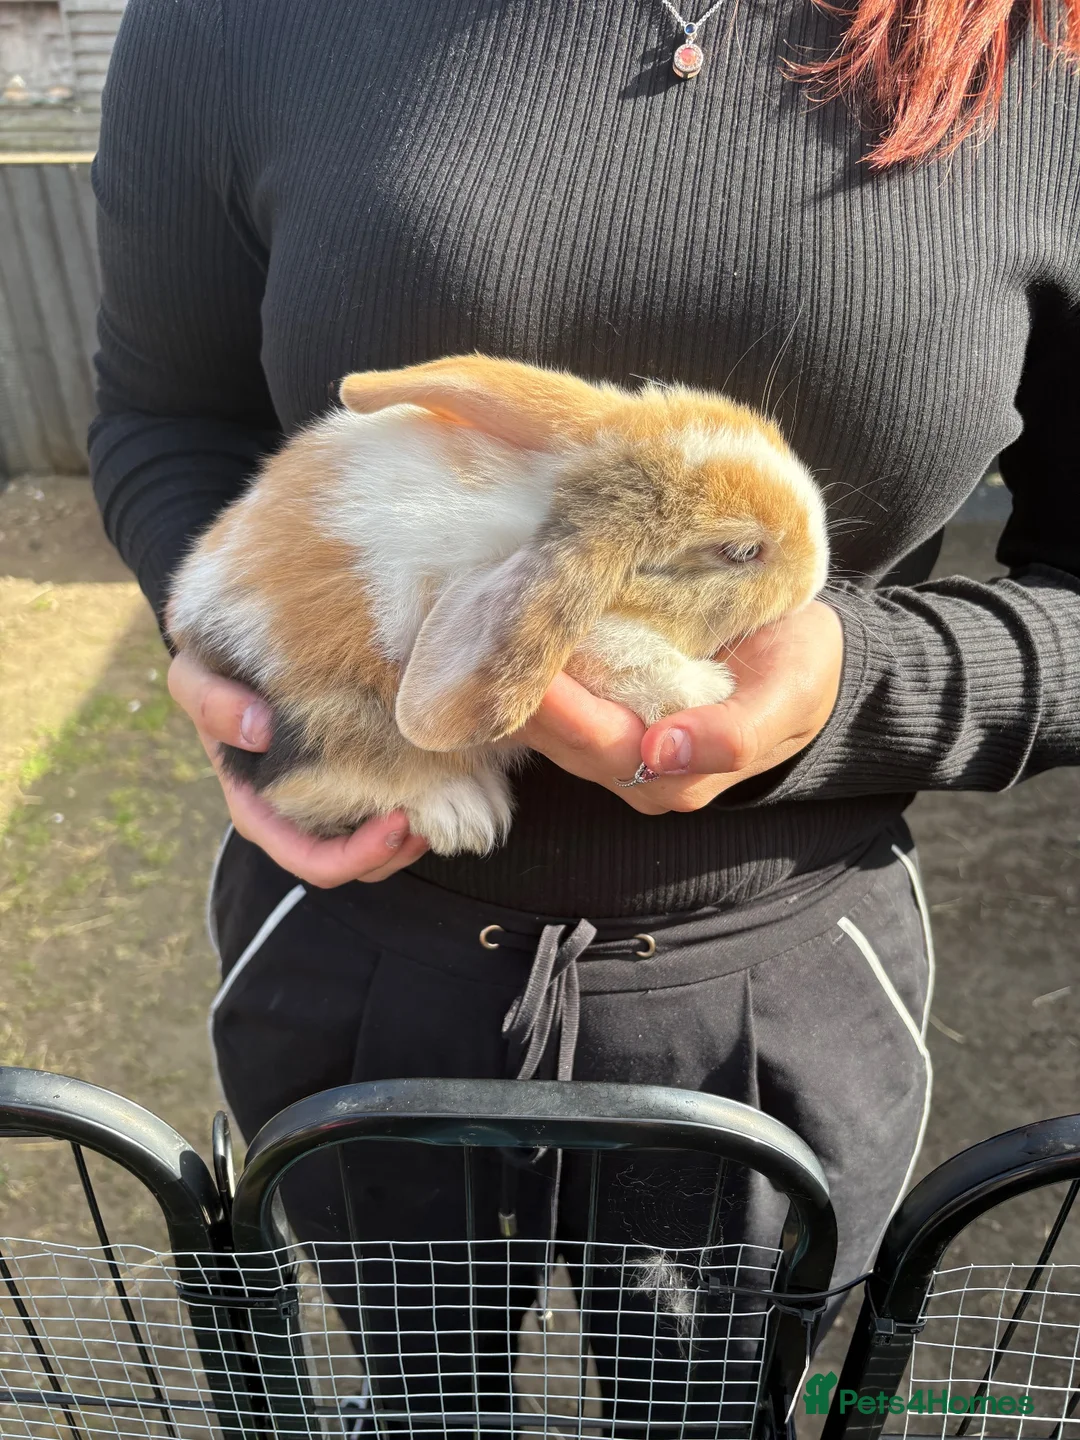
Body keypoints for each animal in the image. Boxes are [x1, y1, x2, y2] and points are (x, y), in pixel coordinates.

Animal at [166, 355, 829, 856]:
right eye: (741, 551)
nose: (820, 567)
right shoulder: (584, 635)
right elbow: (621, 652)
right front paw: (704, 687)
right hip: (326, 723)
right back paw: (465, 812)